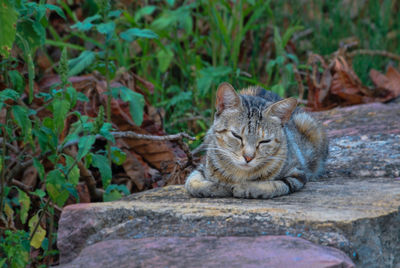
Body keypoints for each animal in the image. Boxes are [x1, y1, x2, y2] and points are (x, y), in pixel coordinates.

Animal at [184, 82, 328, 198]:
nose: (248, 157)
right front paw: (218, 187)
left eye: (265, 141)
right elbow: (192, 183)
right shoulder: (202, 166)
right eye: (236, 135)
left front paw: (246, 188)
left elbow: (275, 185)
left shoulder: (297, 174)